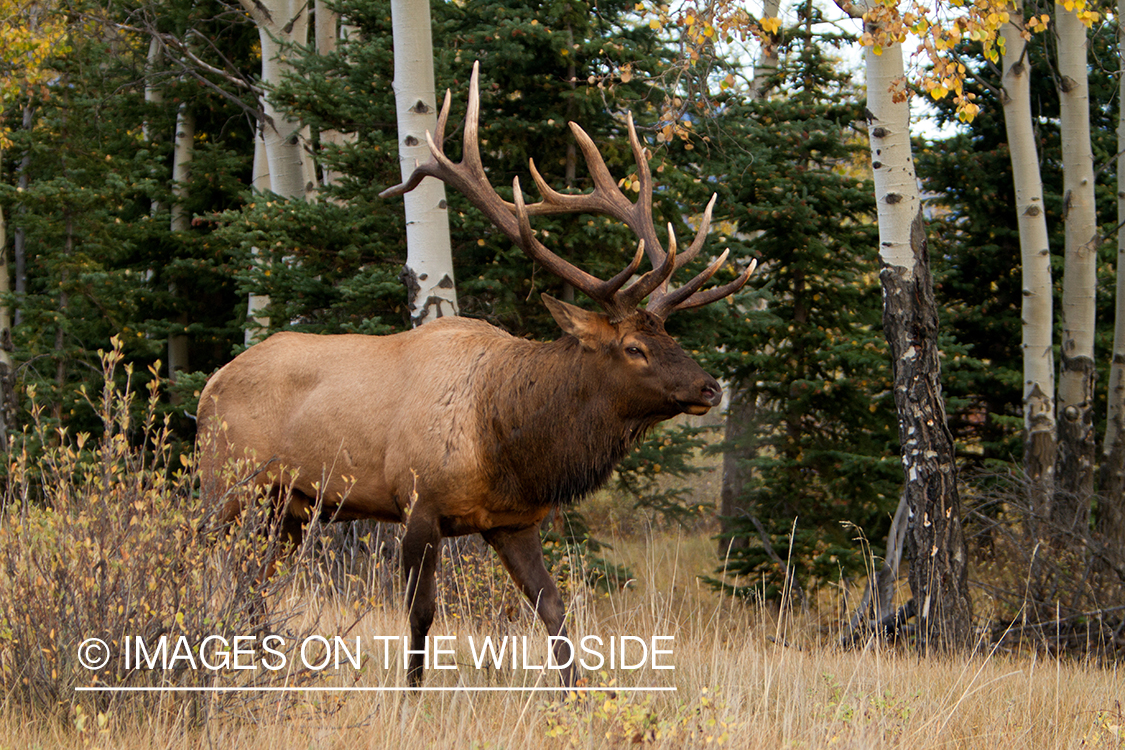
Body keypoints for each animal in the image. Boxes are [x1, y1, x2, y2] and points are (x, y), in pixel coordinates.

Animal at [199, 64, 756, 688]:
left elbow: (554, 609)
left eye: (672, 338)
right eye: (635, 347)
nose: (710, 387)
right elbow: (420, 614)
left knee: (253, 580)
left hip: (290, 504)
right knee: (210, 563)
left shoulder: (514, 521)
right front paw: (410, 695)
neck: (508, 441)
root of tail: (209, 385)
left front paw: (576, 693)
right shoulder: (416, 502)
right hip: (224, 483)